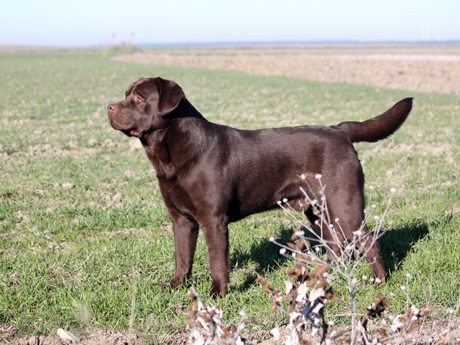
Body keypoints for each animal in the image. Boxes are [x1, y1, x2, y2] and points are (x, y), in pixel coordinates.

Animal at [108, 77, 414, 296]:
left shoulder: (213, 220)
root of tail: (339, 129)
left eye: (138, 97)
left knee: (368, 242)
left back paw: (378, 282)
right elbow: (182, 258)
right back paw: (327, 280)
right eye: (126, 94)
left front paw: (218, 295)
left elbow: (217, 261)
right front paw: (175, 287)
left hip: (344, 203)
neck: (170, 156)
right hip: (319, 211)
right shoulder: (181, 220)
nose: (109, 108)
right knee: (337, 246)